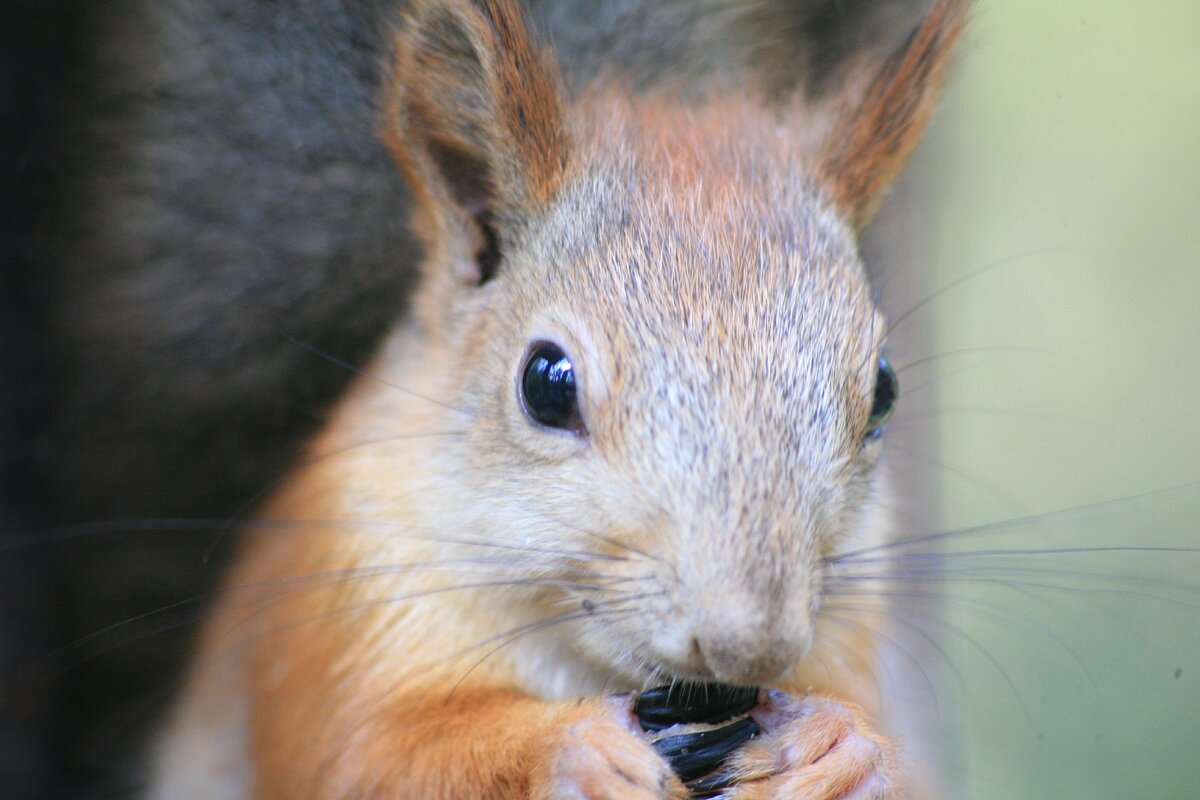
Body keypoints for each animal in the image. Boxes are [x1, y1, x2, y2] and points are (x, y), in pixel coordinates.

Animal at [147, 0, 974, 796]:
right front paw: (573, 747)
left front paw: (840, 746)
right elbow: (365, 759)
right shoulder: (338, 610)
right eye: (545, 383)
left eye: (884, 390)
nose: (749, 645)